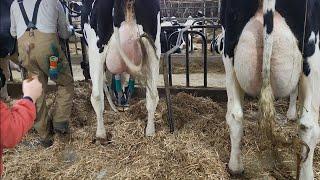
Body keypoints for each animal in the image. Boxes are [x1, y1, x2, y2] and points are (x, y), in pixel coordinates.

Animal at [81, 0, 161, 140]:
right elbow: (122, 80)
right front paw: (121, 102)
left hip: (96, 49)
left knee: (96, 96)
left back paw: (101, 135)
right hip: (154, 49)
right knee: (152, 95)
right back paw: (150, 132)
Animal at [220, 0, 320, 179]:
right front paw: (292, 114)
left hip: (229, 54)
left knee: (235, 115)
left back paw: (235, 168)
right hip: (312, 56)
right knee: (308, 125)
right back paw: (307, 175)